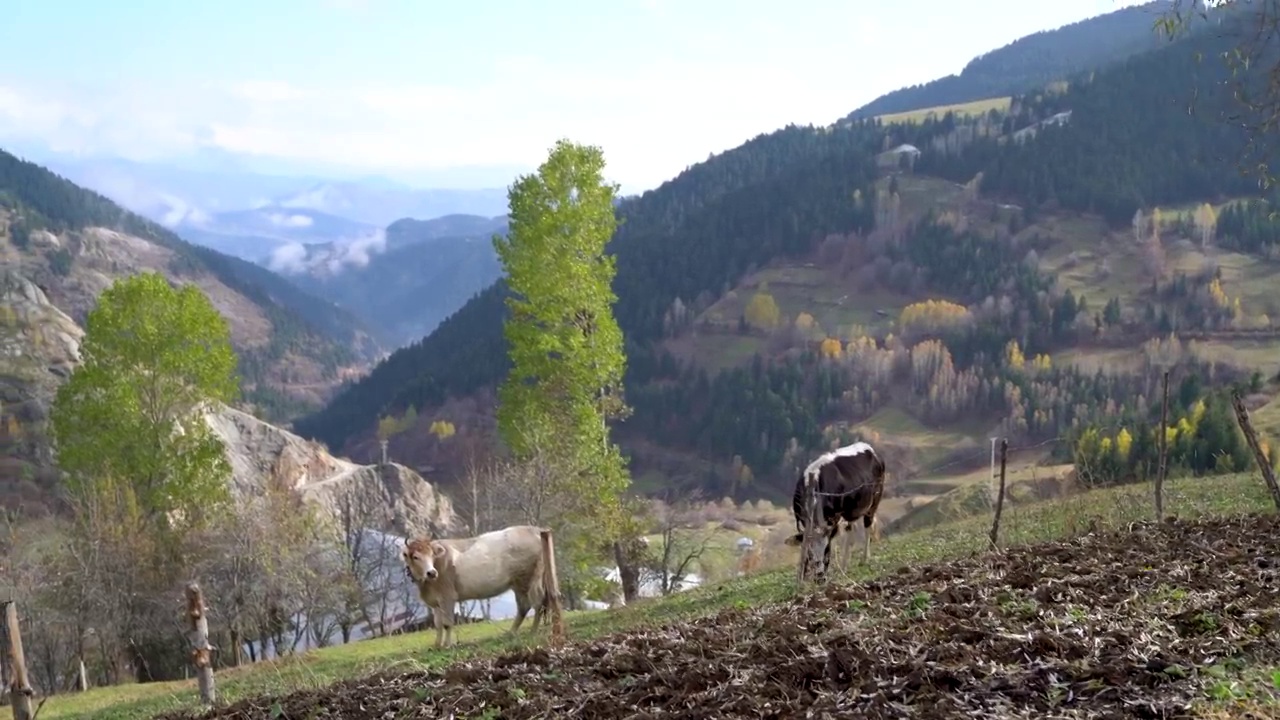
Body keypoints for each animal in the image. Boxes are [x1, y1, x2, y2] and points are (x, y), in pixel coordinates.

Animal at [399, 520, 550, 645]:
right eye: (415, 557)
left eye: (432, 555)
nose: (432, 573)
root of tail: (533, 529)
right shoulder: (435, 601)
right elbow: (438, 624)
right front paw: (437, 645)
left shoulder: (447, 596)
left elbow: (447, 623)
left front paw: (447, 645)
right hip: (518, 584)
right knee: (524, 607)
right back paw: (511, 632)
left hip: (529, 579)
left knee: (537, 603)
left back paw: (533, 631)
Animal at [778, 438, 890, 576]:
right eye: (810, 553)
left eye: (827, 550)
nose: (819, 574)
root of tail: (870, 448)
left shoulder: (833, 518)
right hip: (850, 510)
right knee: (850, 529)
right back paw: (844, 565)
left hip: (874, 500)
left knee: (867, 526)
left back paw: (864, 559)